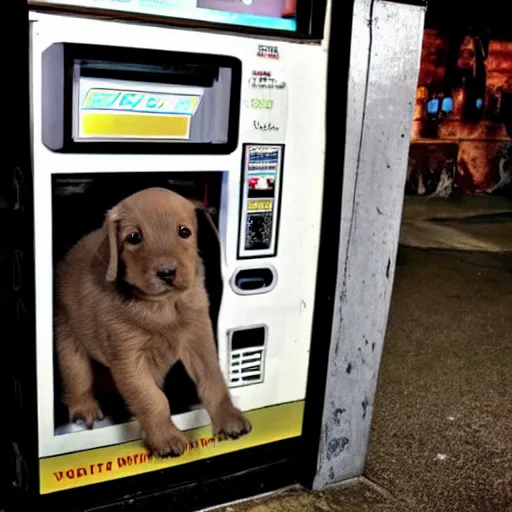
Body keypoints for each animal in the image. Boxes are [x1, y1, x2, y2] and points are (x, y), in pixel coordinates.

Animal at [55, 187, 251, 456]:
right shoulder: (128, 359)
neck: (163, 307)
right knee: (77, 377)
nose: (166, 272)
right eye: (133, 237)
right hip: (68, 338)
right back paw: (84, 407)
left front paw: (229, 417)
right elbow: (152, 399)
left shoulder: (199, 340)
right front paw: (165, 437)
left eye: (184, 232)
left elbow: (213, 381)